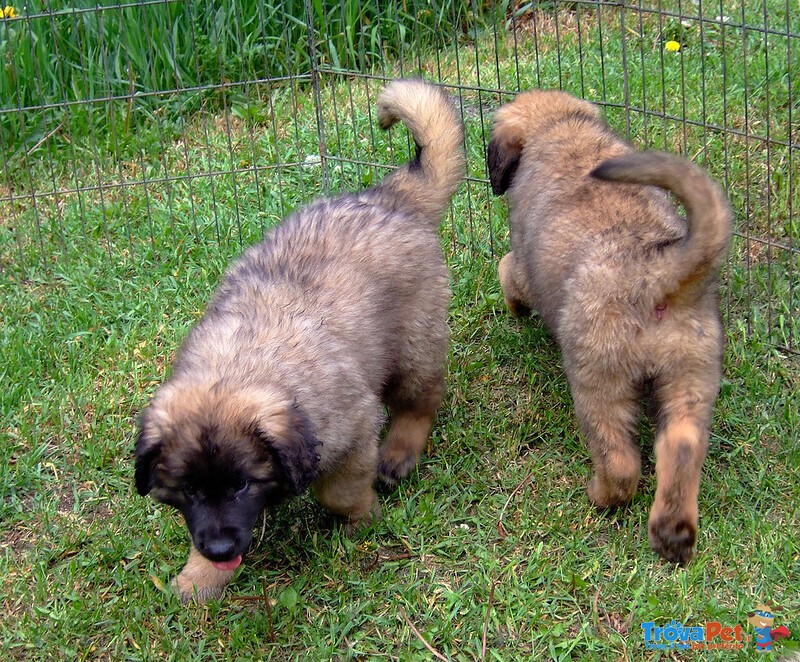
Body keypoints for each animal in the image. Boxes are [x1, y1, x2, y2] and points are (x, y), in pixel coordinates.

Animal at [134, 79, 466, 608]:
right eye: (186, 489)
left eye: (244, 484)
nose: (221, 549)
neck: (239, 366)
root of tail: (390, 197)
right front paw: (198, 579)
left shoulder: (351, 430)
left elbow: (338, 491)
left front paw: (360, 521)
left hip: (415, 341)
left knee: (422, 399)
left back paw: (398, 454)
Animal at [488, 89, 732, 564]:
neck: (562, 127)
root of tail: (657, 271)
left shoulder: (523, 265)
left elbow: (507, 270)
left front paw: (514, 309)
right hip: (690, 374)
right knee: (681, 447)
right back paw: (673, 534)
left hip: (599, 379)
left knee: (620, 462)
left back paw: (600, 496)